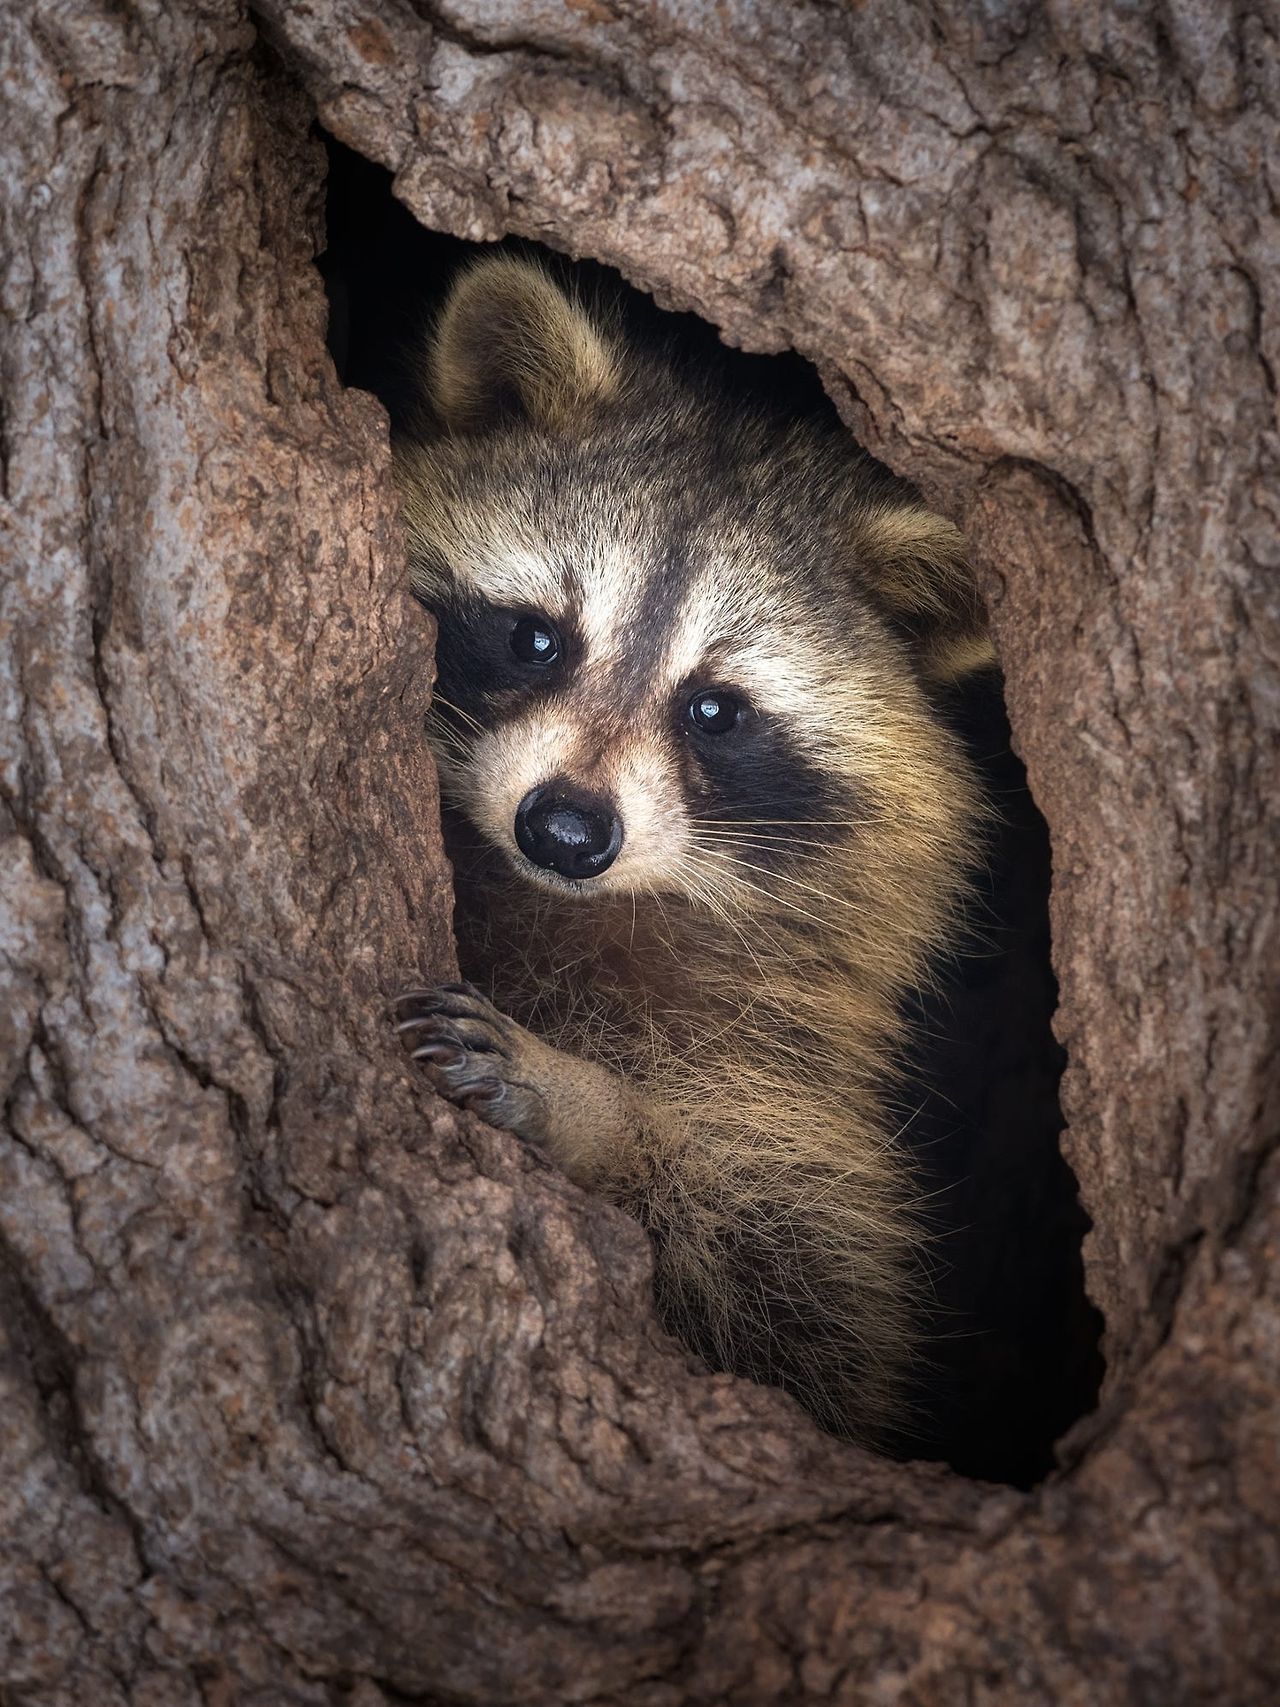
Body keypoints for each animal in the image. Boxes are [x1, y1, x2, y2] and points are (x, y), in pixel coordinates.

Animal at [393, 256, 994, 1445]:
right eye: (535, 637)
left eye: (714, 711)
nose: (564, 831)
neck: (567, 906)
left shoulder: (785, 1067)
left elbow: (781, 1276)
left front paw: (590, 1106)